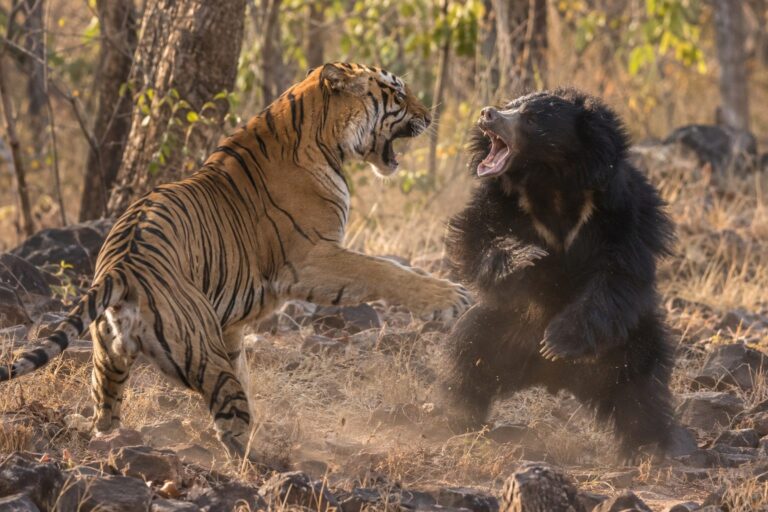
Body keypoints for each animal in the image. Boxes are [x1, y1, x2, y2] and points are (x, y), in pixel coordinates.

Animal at [0, 63, 472, 460]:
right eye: (397, 93)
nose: (429, 115)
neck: (321, 134)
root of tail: (121, 267)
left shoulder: (229, 323)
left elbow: (243, 362)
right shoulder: (312, 260)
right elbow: (383, 269)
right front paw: (451, 297)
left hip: (109, 360)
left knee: (106, 412)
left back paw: (101, 433)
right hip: (201, 351)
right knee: (233, 426)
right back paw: (270, 462)